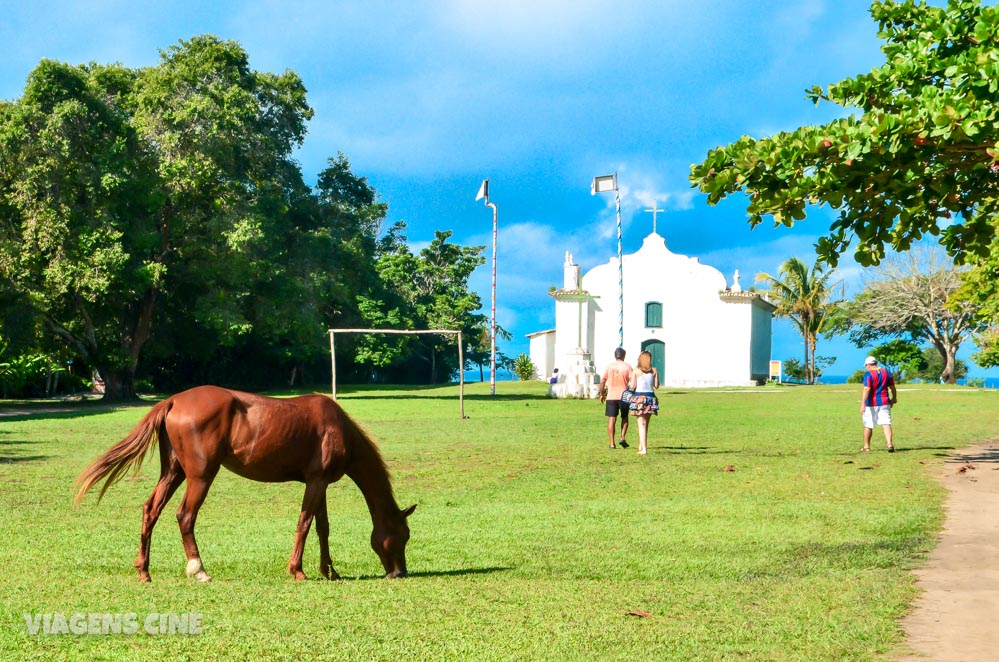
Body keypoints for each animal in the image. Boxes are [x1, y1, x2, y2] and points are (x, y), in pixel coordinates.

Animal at [75, 386, 414, 584]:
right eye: (404, 535)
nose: (400, 572)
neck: (336, 426)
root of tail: (173, 401)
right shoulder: (316, 482)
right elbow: (304, 524)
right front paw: (298, 570)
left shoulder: (320, 484)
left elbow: (322, 527)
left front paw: (329, 570)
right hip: (200, 476)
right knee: (185, 516)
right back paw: (199, 569)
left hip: (173, 472)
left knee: (151, 510)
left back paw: (144, 571)